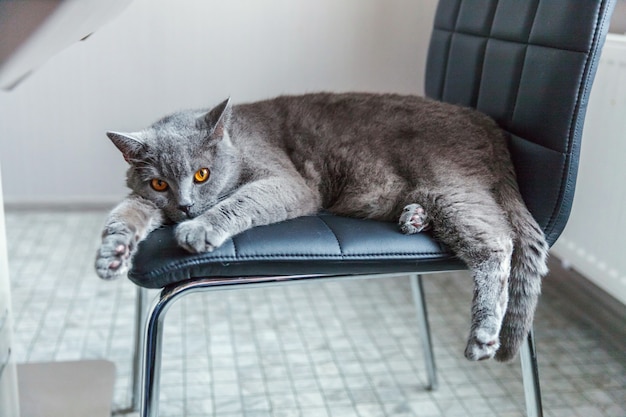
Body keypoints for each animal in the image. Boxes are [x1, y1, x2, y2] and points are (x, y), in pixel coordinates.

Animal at [94, 92, 544, 360]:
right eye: (159, 184)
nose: (186, 207)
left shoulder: (287, 182)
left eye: (202, 175)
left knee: (496, 242)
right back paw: (413, 217)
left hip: (449, 186)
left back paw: (483, 334)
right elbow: (125, 212)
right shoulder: (145, 200)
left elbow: (240, 200)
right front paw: (111, 255)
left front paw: (198, 230)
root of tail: (485, 123)